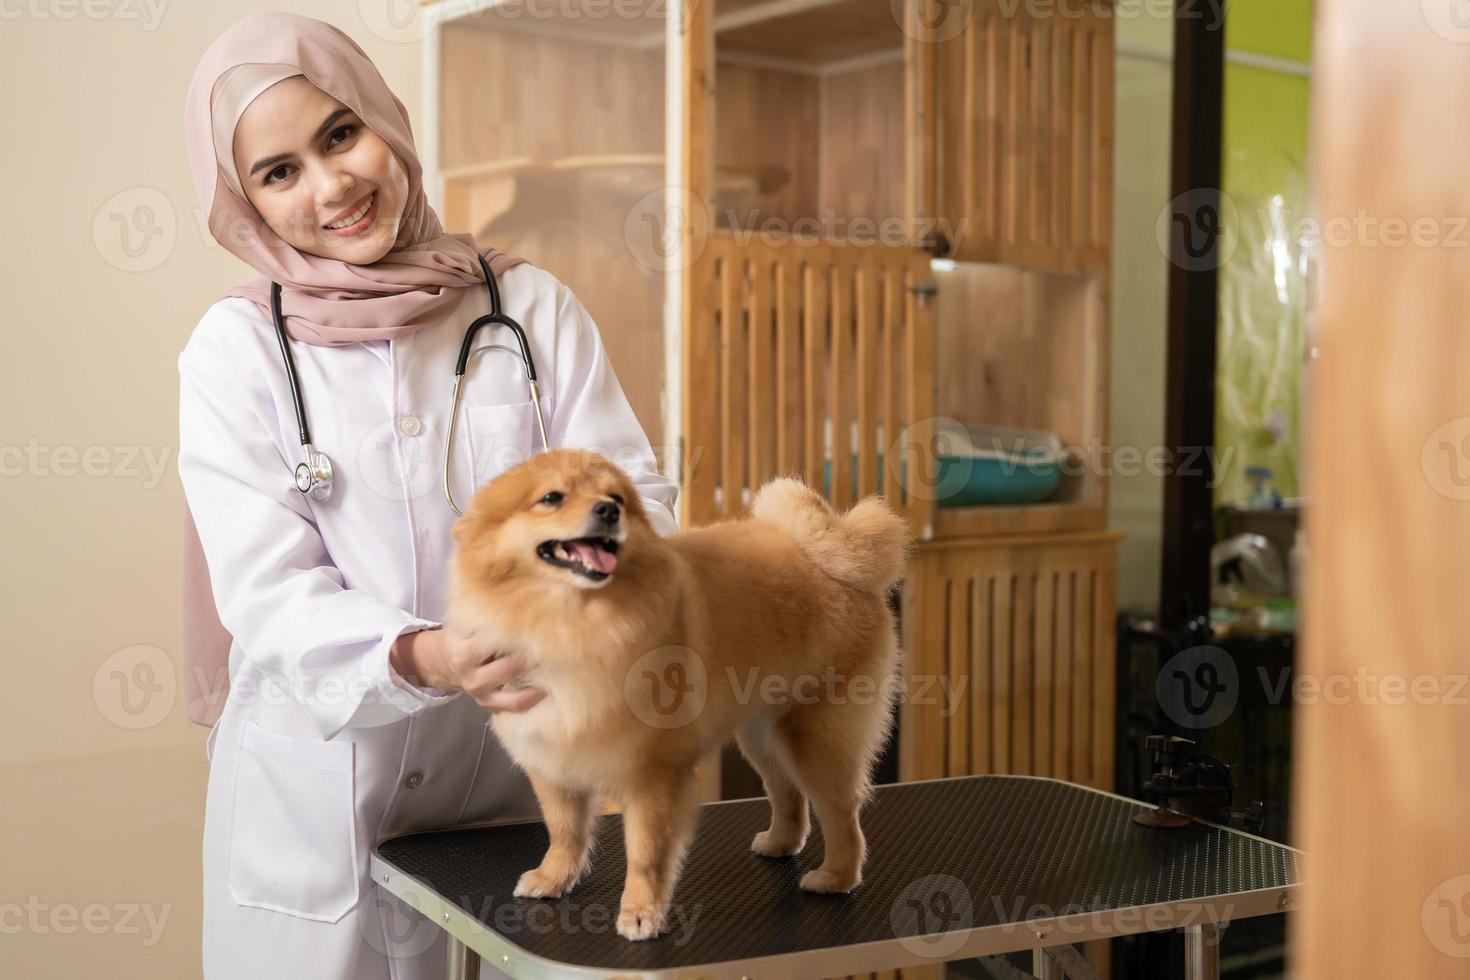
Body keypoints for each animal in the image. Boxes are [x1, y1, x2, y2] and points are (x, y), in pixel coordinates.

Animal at [441, 449, 911, 940]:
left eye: (616, 499)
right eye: (552, 498)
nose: (607, 511)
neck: (574, 621)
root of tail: (835, 555)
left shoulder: (653, 773)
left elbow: (646, 852)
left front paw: (641, 913)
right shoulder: (552, 757)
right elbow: (564, 830)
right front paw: (554, 878)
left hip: (815, 735)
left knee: (841, 811)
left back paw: (836, 876)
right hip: (763, 734)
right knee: (787, 792)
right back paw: (780, 842)